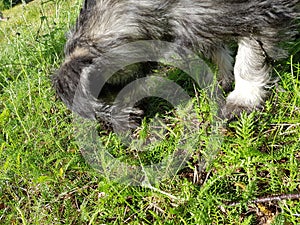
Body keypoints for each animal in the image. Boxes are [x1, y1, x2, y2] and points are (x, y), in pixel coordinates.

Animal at [52, 0, 298, 131]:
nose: (128, 126)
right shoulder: (202, 19)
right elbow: (216, 48)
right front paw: (222, 77)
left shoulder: (254, 13)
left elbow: (247, 58)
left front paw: (243, 98)